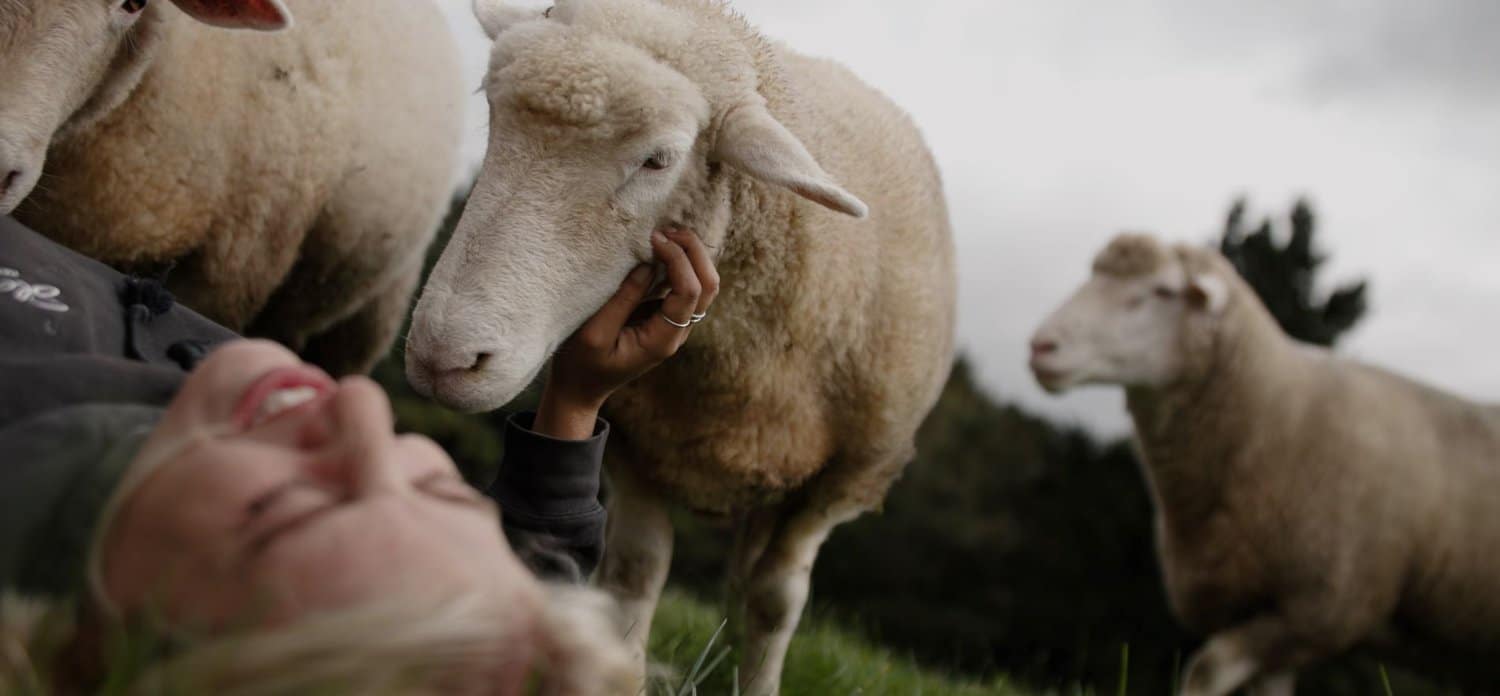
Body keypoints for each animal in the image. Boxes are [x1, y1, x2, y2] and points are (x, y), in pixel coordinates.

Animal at [403, 1, 957, 692]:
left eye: (658, 160)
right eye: (492, 110)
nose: (441, 358)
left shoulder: (842, 479)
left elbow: (776, 601)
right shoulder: (637, 444)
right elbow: (634, 571)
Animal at [1028, 233, 1500, 695]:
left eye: (1162, 290)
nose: (1040, 346)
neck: (1275, 412)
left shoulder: (1325, 607)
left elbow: (1205, 671)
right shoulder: (1265, 617)